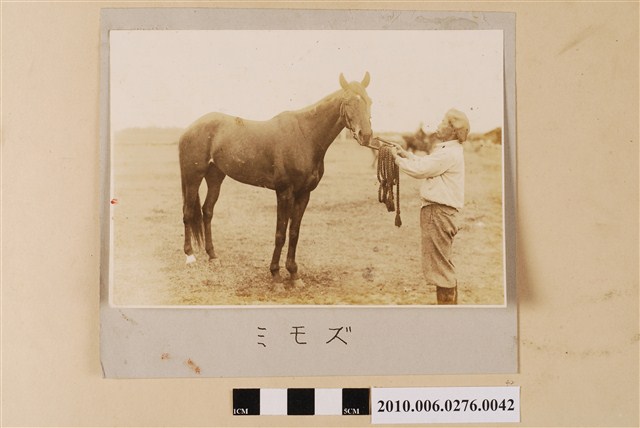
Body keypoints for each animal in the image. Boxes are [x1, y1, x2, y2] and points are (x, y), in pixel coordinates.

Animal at [178, 72, 373, 287]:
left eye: (369, 101)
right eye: (347, 102)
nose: (366, 135)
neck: (305, 136)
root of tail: (190, 128)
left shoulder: (304, 194)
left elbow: (294, 232)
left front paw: (294, 275)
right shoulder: (284, 192)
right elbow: (280, 233)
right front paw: (276, 275)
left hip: (215, 177)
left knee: (207, 211)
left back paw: (213, 256)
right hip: (193, 177)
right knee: (188, 212)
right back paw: (190, 257)